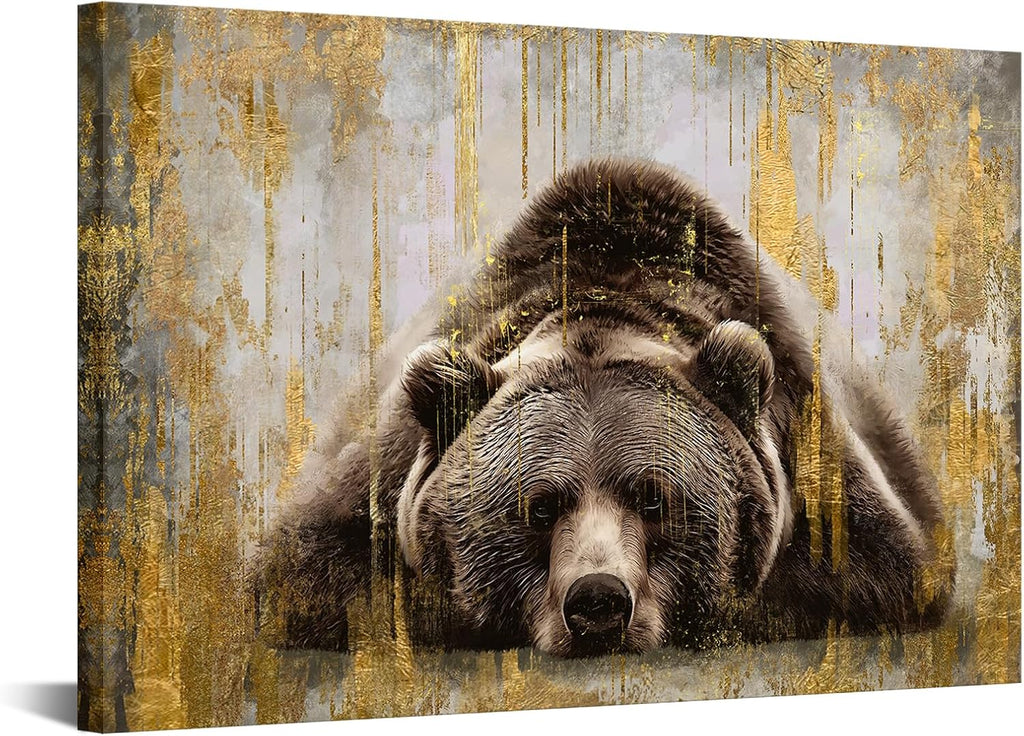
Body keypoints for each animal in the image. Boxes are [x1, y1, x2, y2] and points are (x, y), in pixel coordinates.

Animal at [255, 158, 952, 657]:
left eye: (654, 497)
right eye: (538, 505)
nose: (597, 600)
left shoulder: (812, 453)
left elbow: (873, 572)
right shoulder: (383, 468)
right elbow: (311, 574)